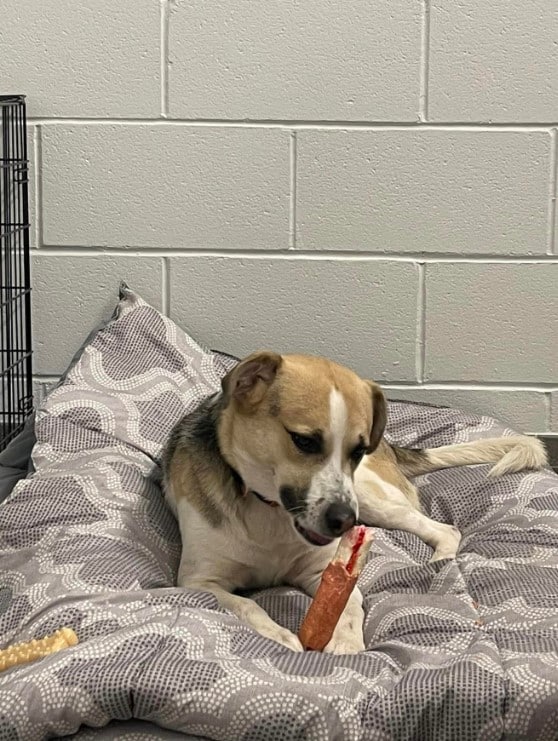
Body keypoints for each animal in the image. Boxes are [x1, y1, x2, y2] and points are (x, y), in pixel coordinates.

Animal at [163, 350, 552, 652]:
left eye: (358, 450)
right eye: (304, 441)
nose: (344, 522)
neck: (269, 511)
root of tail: (391, 446)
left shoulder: (322, 570)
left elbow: (349, 605)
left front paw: (347, 643)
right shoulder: (199, 582)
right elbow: (245, 605)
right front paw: (279, 635)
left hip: (369, 498)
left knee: (444, 529)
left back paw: (440, 561)